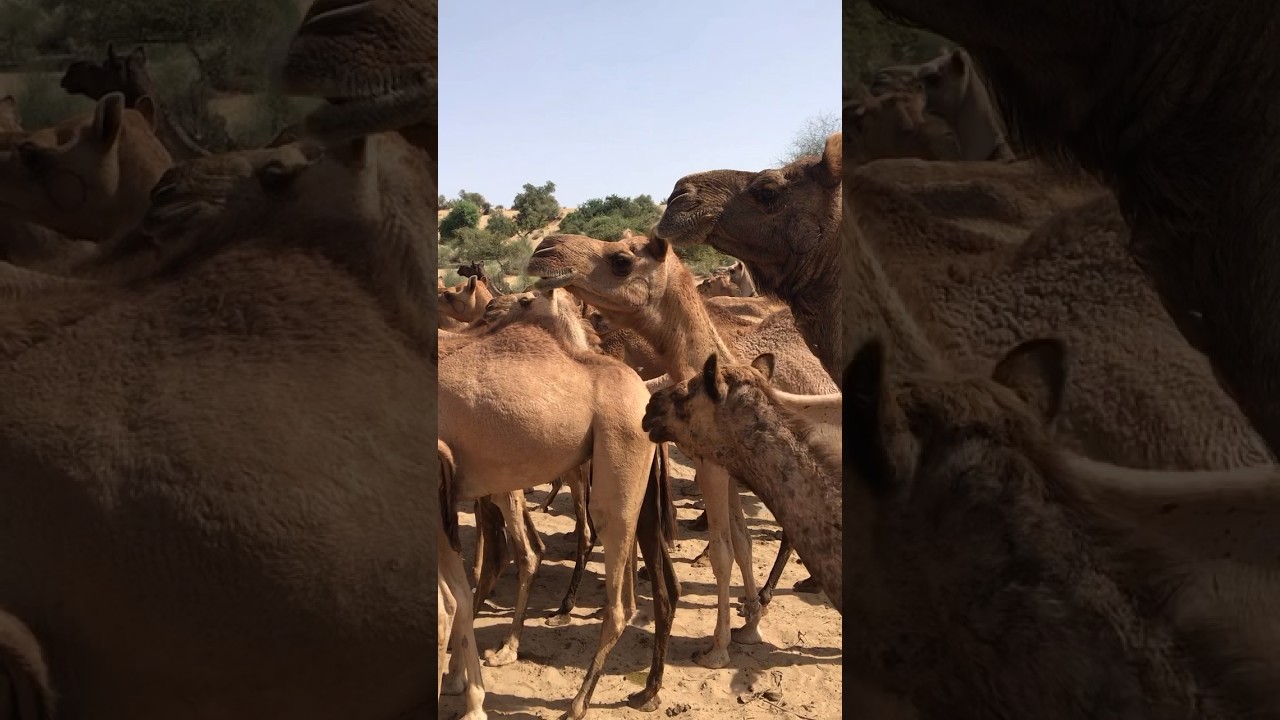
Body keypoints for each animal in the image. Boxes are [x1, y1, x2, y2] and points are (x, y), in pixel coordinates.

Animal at [439, 284, 678, 718]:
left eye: (526, 299)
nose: (492, 308)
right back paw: (646, 692)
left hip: (615, 472)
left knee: (618, 600)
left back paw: (578, 702)